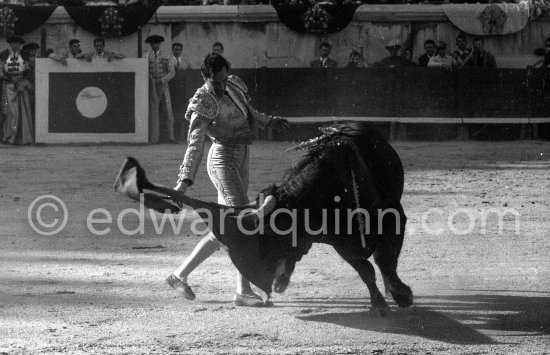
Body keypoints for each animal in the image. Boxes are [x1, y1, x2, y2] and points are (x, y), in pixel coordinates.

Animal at [114, 123, 412, 314]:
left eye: (271, 233)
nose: (266, 272)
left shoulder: (394, 219)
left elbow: (385, 261)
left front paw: (399, 294)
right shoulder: (340, 243)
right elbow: (366, 269)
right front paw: (381, 302)